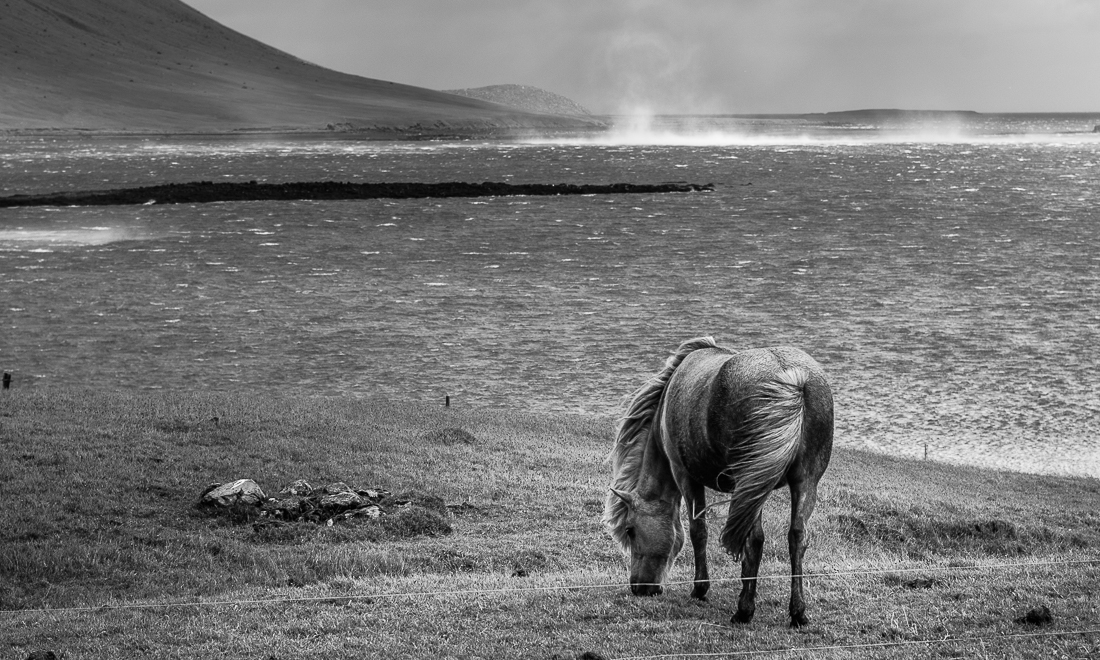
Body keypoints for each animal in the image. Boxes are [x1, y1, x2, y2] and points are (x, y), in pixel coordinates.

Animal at [603, 336, 834, 627]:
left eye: (631, 530)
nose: (639, 588)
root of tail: (793, 377)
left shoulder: (685, 476)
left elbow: (697, 531)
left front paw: (700, 589)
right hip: (802, 482)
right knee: (797, 537)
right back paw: (798, 613)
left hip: (749, 486)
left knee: (754, 539)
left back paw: (744, 610)